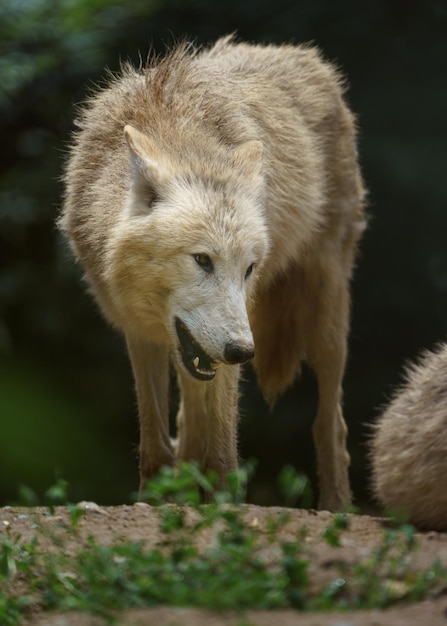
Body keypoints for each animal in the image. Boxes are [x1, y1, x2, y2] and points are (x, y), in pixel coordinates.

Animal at [60, 36, 368, 510]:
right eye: (202, 260)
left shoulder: (233, 336)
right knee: (188, 416)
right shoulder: (138, 329)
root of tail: (301, 54)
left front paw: (223, 506)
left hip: (326, 313)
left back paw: (336, 506)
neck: (176, 132)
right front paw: (158, 501)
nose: (244, 351)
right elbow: (155, 436)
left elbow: (222, 440)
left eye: (249, 268)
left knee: (330, 423)